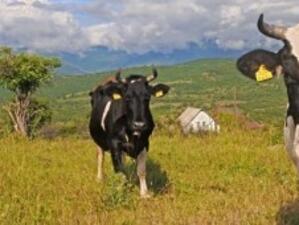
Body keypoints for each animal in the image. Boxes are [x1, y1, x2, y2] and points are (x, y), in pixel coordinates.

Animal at [89, 68, 170, 197]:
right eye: (127, 97)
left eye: (147, 97)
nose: (139, 124)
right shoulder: (114, 143)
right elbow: (119, 169)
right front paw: (119, 190)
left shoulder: (144, 143)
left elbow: (141, 170)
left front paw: (144, 193)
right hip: (98, 140)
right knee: (100, 156)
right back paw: (99, 178)